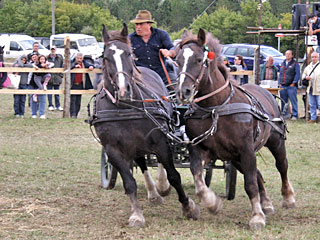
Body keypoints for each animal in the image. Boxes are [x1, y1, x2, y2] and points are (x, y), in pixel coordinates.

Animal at [90, 24, 199, 227]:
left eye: (128, 54)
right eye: (106, 57)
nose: (123, 90)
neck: (126, 107)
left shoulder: (160, 141)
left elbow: (174, 175)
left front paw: (188, 207)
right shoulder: (112, 149)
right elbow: (129, 182)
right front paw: (136, 215)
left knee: (162, 163)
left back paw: (161, 186)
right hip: (134, 145)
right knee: (142, 162)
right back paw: (153, 193)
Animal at [175, 29, 296, 230]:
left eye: (199, 60)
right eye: (176, 60)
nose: (182, 91)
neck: (216, 107)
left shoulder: (246, 149)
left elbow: (250, 184)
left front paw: (257, 217)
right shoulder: (202, 149)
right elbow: (198, 178)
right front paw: (212, 203)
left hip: (274, 143)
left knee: (282, 166)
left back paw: (288, 198)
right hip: (236, 158)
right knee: (257, 173)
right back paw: (266, 203)